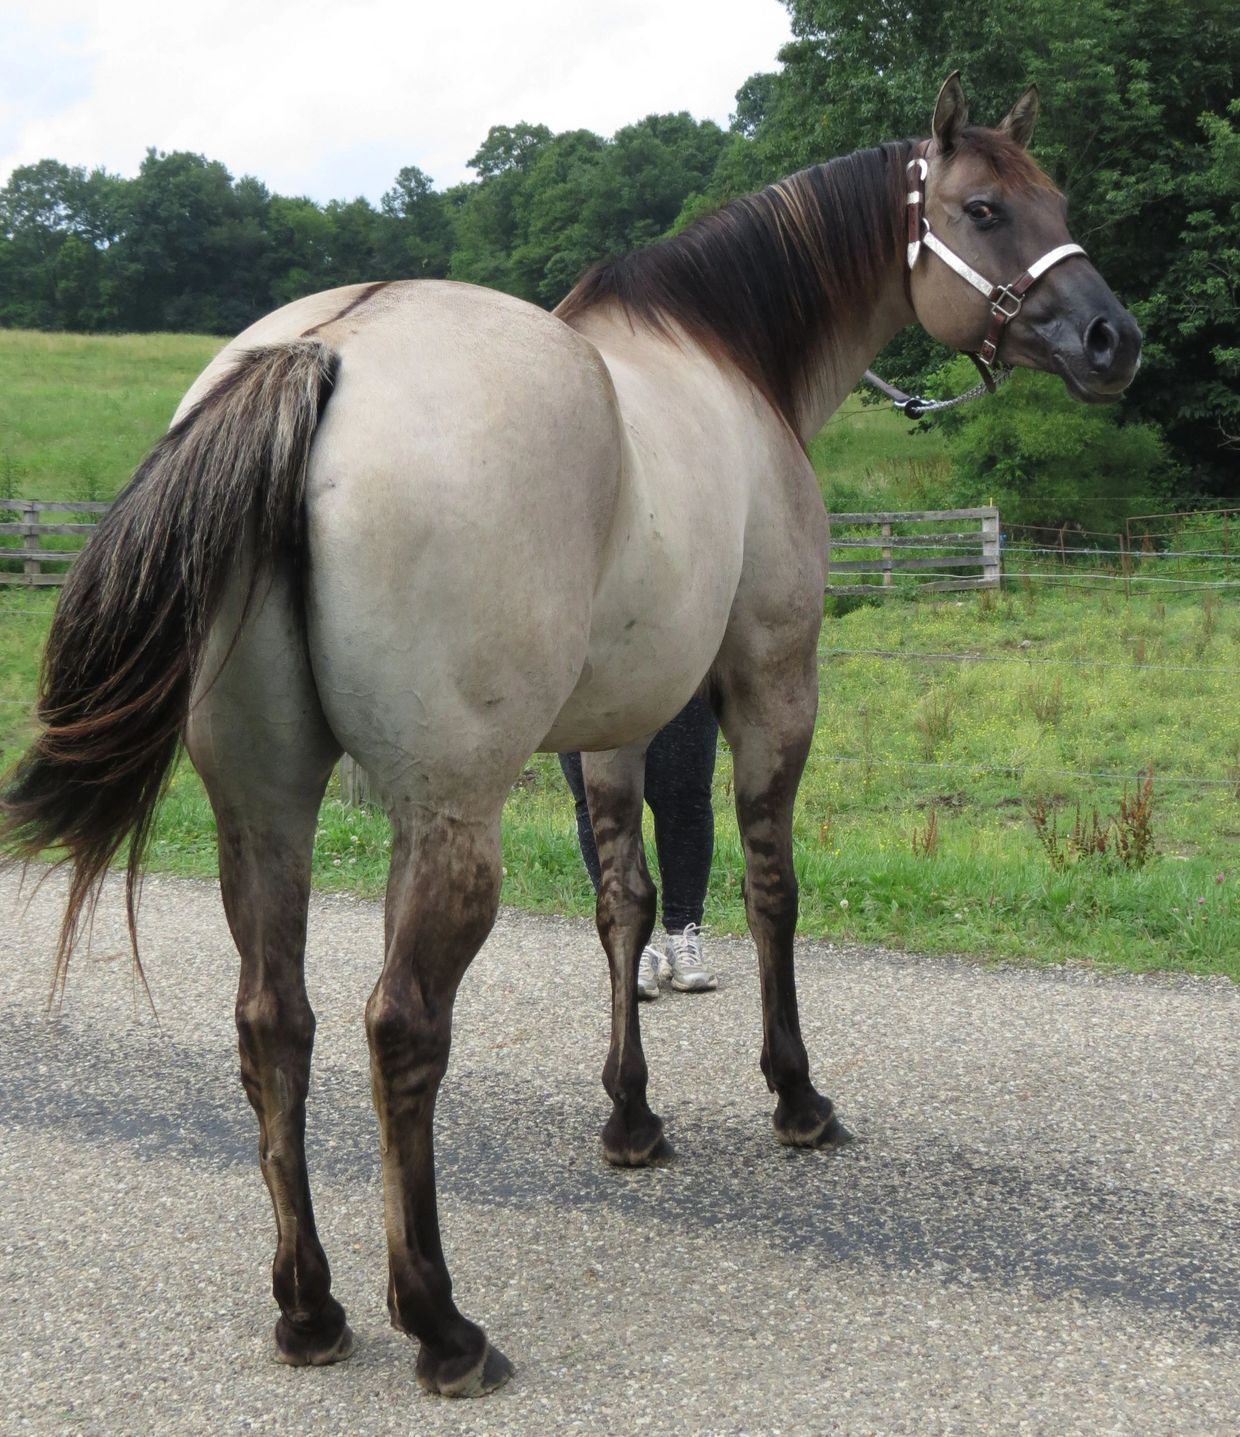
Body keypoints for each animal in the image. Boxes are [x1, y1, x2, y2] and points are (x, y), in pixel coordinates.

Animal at [0, 76, 1140, 1395]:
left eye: (1057, 200)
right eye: (984, 207)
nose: (1112, 339)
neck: (721, 359)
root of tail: (320, 351)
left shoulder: (611, 729)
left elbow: (624, 906)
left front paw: (631, 1116)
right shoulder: (769, 684)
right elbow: (769, 887)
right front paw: (794, 1096)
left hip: (263, 812)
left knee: (273, 1024)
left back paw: (311, 1308)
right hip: (448, 818)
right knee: (401, 1028)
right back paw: (439, 1323)